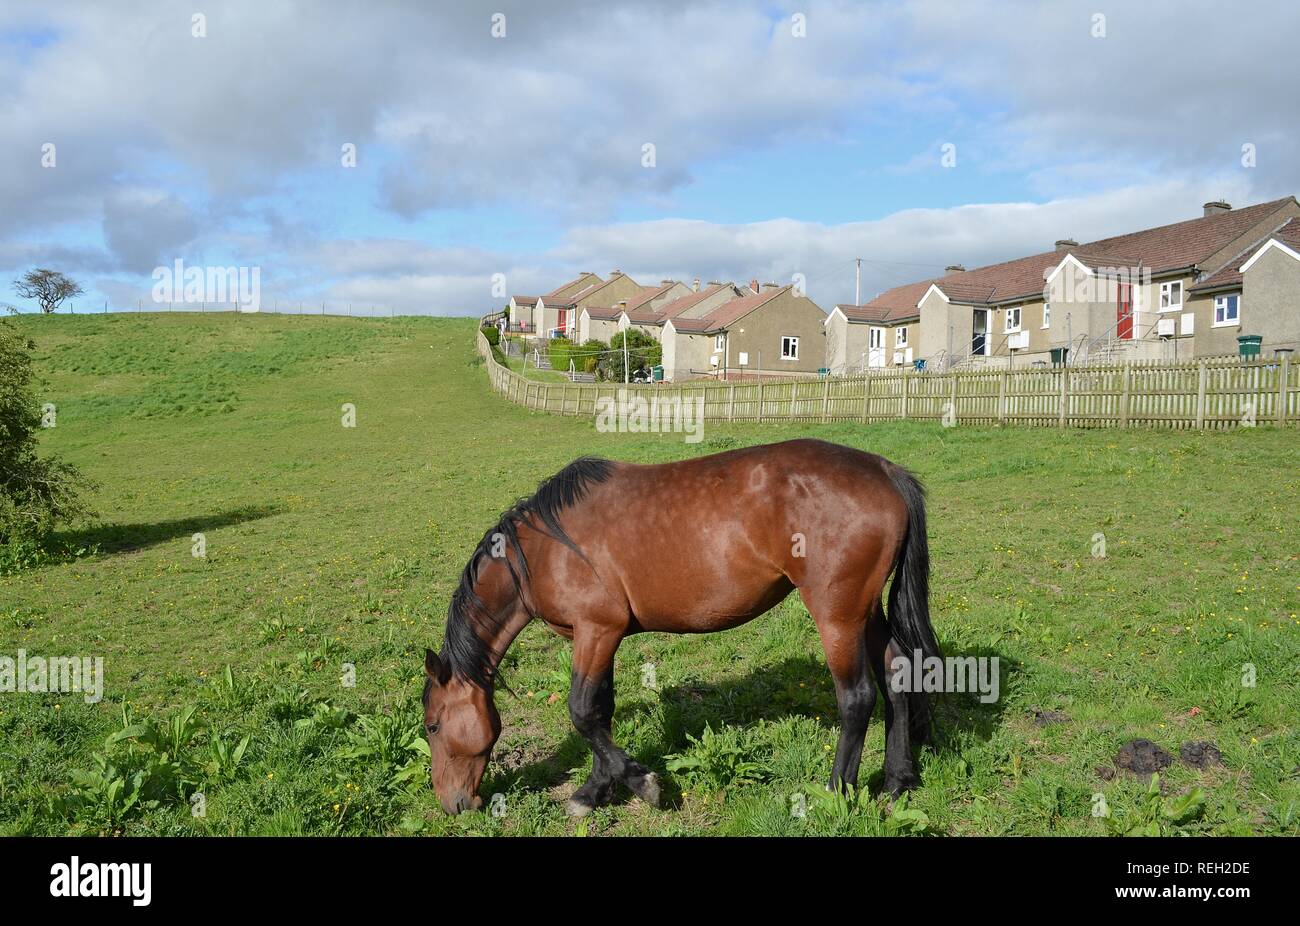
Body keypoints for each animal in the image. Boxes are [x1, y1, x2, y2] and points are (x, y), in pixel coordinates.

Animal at [422, 437, 941, 816]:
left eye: (432, 726)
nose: (453, 804)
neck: (546, 547)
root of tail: (884, 470)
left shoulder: (596, 630)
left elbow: (583, 712)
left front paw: (642, 784)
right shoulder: (604, 636)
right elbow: (601, 711)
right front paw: (596, 790)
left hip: (837, 614)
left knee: (857, 699)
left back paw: (834, 793)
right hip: (865, 611)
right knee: (897, 676)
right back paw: (896, 782)